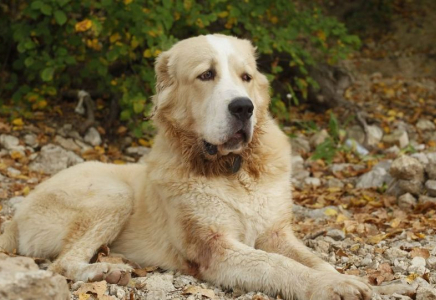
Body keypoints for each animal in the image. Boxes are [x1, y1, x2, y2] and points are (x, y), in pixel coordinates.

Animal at [0, 35, 372, 300]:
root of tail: (15, 218)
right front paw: (329, 287)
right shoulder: (215, 248)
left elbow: (311, 258)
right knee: (60, 264)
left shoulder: (276, 234)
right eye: (206, 75)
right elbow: (277, 264)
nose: (243, 107)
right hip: (113, 194)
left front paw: (341, 278)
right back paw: (103, 272)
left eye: (246, 77)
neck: (233, 170)